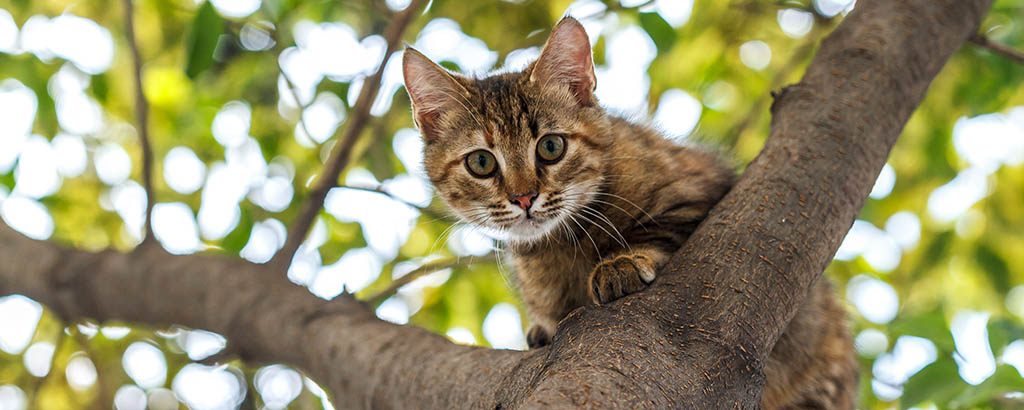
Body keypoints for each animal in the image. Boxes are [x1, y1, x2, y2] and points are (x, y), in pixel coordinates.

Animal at [399, 16, 856, 410]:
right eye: (481, 162)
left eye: (551, 147)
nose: (525, 197)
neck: (561, 244)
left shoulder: (701, 187)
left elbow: (663, 227)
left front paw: (621, 262)